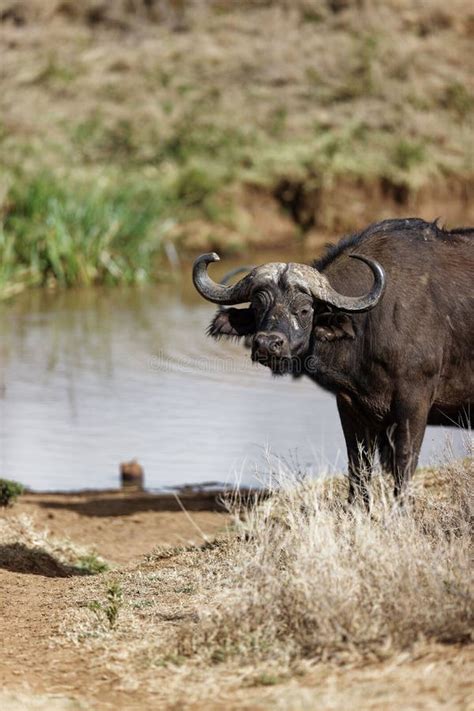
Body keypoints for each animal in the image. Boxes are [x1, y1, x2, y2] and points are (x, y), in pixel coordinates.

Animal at [193, 218, 474, 506]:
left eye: (304, 310)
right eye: (258, 307)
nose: (267, 344)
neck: (373, 323)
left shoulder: (414, 401)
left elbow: (404, 461)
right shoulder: (350, 404)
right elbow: (358, 464)